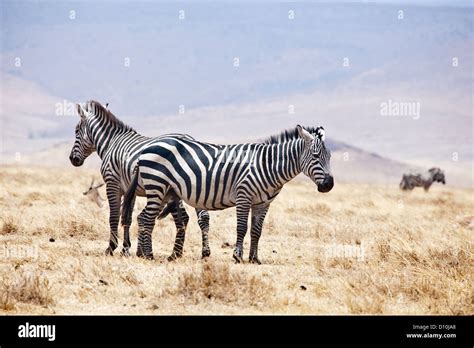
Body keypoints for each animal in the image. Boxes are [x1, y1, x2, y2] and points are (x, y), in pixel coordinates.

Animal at [67, 99, 210, 260]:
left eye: (76, 131)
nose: (72, 159)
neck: (111, 143)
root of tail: (190, 139)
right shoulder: (130, 189)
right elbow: (127, 218)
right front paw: (125, 249)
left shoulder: (112, 183)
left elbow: (114, 216)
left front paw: (111, 248)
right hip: (195, 185)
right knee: (202, 217)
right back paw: (204, 252)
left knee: (184, 218)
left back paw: (176, 254)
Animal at [121, 125, 334, 264]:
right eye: (316, 156)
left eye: (330, 156)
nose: (329, 185)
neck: (268, 166)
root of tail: (145, 150)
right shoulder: (244, 196)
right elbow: (242, 228)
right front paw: (237, 256)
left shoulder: (263, 203)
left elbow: (257, 230)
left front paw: (254, 258)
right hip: (156, 185)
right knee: (147, 219)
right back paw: (149, 255)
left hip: (165, 191)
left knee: (142, 217)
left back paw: (143, 254)